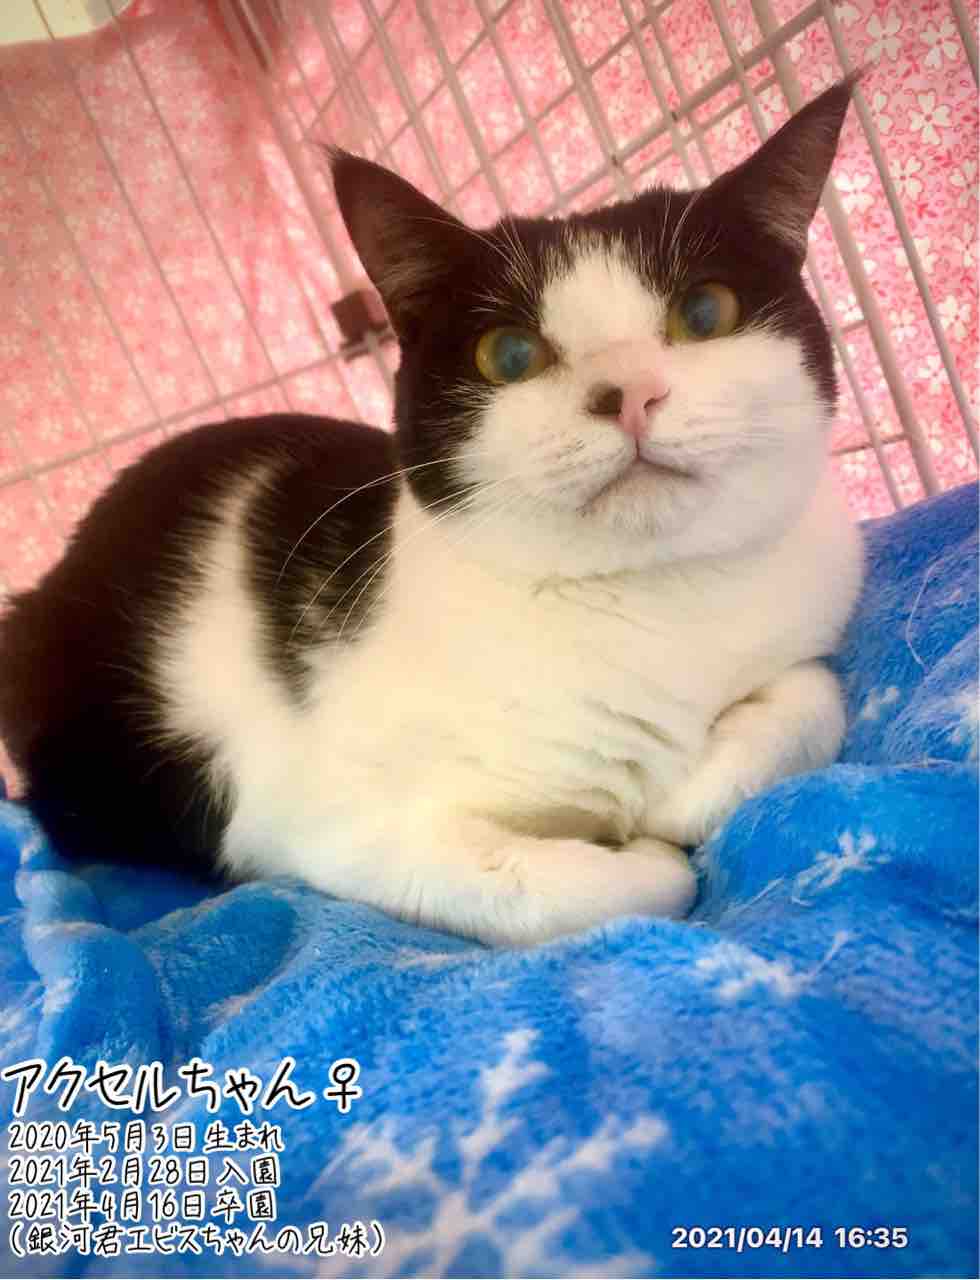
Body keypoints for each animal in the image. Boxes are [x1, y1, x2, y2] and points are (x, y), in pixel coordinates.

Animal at [0, 79, 864, 946]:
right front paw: (645, 844)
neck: (658, 604)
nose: (628, 394)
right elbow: (589, 889)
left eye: (707, 312)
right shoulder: (330, 824)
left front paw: (693, 786)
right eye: (510, 355)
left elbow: (817, 694)